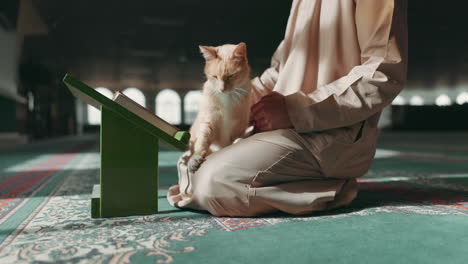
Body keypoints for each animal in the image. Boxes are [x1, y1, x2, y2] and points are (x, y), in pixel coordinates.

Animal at [186, 42, 252, 172]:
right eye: (215, 76)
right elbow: (202, 141)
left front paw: (237, 142)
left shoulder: (239, 125)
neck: (227, 98)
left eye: (231, 76)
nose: (222, 89)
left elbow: (236, 138)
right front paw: (195, 158)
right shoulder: (208, 122)